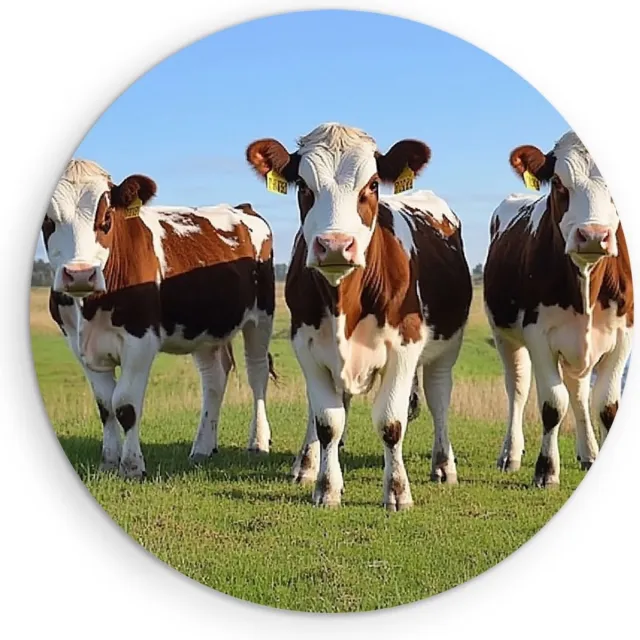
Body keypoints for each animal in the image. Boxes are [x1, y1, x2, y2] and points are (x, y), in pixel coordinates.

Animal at [43, 159, 276, 478]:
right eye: (47, 221)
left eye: (106, 218)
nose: (80, 273)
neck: (88, 307)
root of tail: (243, 207)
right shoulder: (79, 347)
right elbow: (105, 406)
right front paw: (108, 461)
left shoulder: (141, 341)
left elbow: (125, 405)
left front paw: (132, 466)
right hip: (204, 327)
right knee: (214, 378)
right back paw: (203, 447)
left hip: (261, 318)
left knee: (257, 373)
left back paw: (258, 442)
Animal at [246, 123, 472, 510]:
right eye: (303, 185)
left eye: (373, 184)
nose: (335, 245)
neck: (344, 304)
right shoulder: (306, 346)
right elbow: (327, 421)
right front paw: (326, 485)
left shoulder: (405, 346)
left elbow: (391, 422)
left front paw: (397, 491)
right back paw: (307, 464)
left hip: (446, 349)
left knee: (439, 397)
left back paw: (443, 466)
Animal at [484, 131, 633, 487]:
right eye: (558, 183)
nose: (593, 235)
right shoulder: (538, 335)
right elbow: (553, 403)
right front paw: (546, 470)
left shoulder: (624, 335)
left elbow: (605, 405)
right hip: (504, 336)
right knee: (518, 388)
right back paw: (510, 455)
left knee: (579, 393)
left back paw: (589, 454)